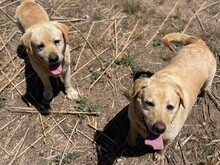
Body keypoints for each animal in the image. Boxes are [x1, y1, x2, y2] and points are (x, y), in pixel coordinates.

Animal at [127, 32, 217, 164]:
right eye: (149, 103)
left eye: (170, 107)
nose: (159, 128)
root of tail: (200, 43)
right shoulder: (133, 124)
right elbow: (132, 137)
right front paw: (130, 145)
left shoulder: (169, 137)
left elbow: (163, 147)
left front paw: (160, 155)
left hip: (208, 80)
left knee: (206, 89)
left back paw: (202, 96)